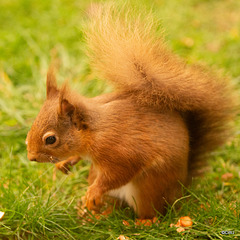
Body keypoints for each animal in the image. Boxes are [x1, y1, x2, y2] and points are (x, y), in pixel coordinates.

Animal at [25, 4, 236, 218]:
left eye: (51, 139)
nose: (31, 157)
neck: (93, 132)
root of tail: (180, 190)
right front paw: (65, 163)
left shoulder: (121, 151)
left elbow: (119, 173)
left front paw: (92, 191)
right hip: (101, 178)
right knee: (114, 206)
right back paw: (98, 215)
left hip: (149, 187)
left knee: (150, 211)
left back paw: (142, 220)